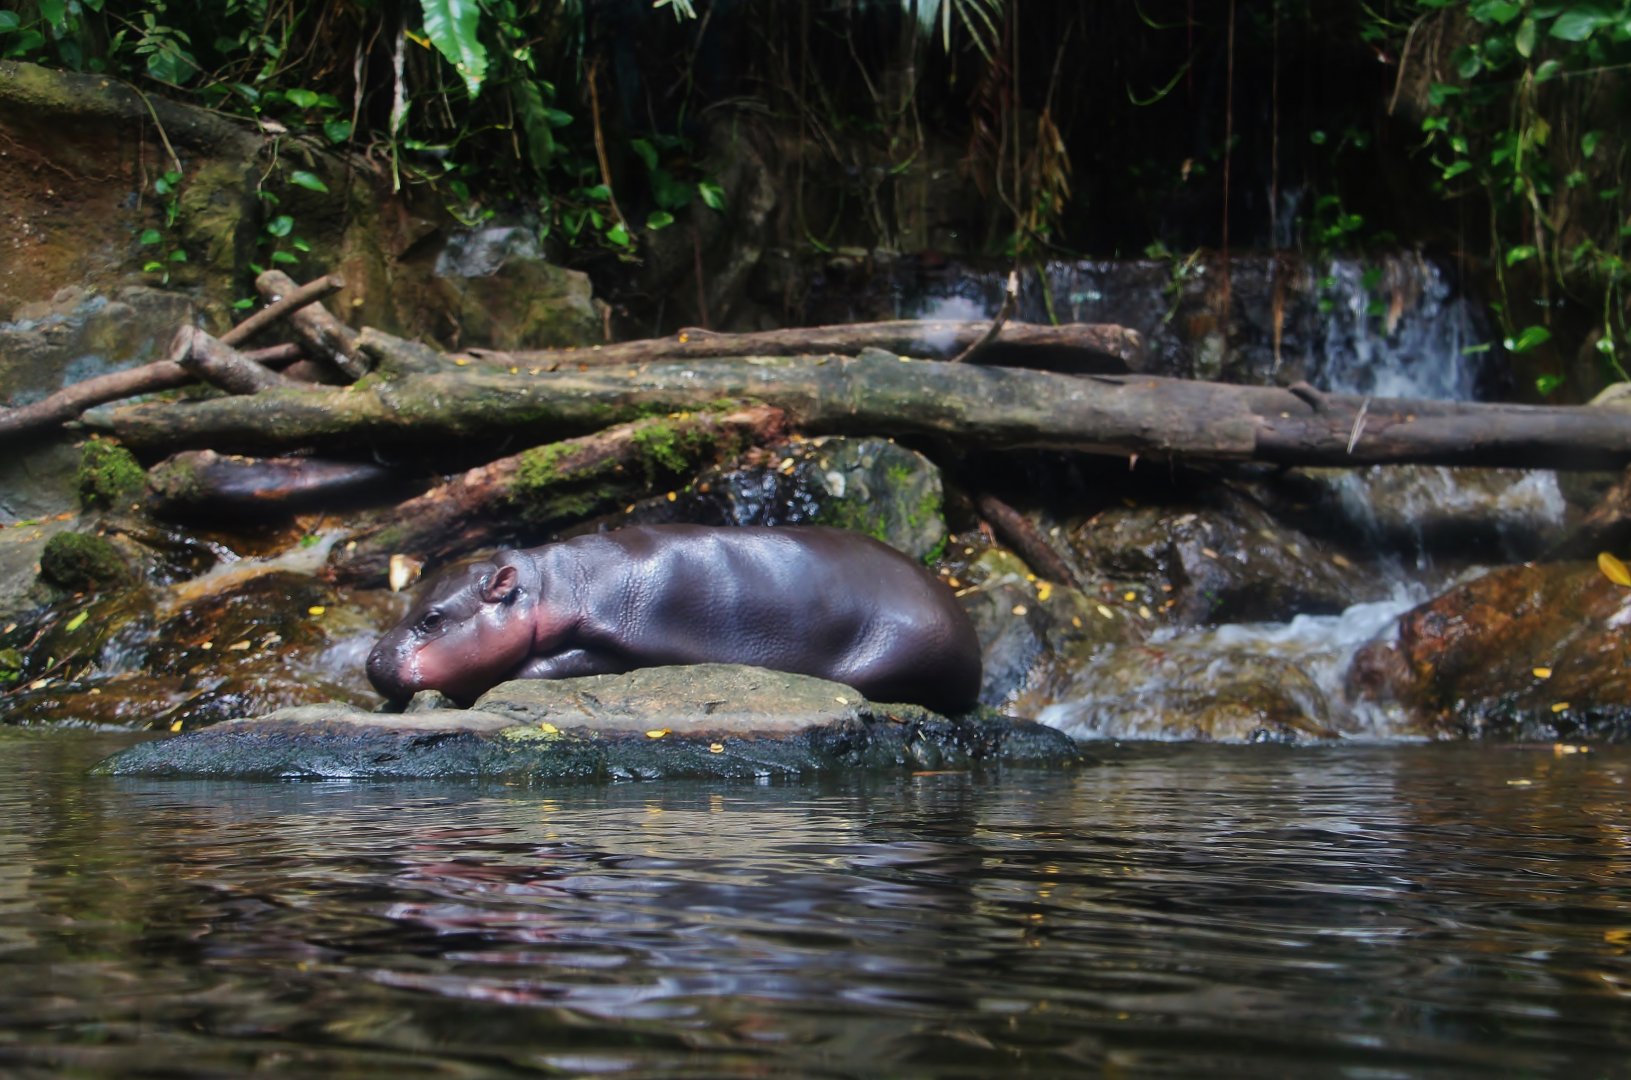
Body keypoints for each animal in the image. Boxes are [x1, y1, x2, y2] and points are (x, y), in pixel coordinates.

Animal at [366, 525, 983, 714]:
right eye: (411, 604)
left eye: (432, 620)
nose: (372, 661)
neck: (548, 584)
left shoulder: (612, 641)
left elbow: (538, 666)